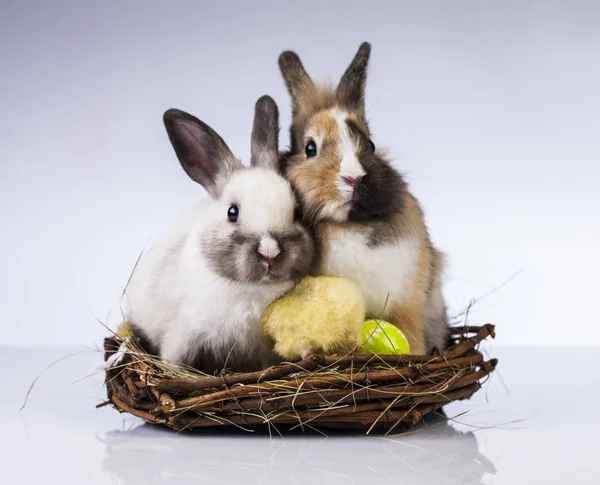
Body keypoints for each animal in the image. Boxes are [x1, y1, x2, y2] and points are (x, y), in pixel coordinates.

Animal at [125, 96, 316, 372]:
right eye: (232, 212)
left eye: (297, 211)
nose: (270, 253)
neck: (251, 291)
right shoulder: (183, 336)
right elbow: (174, 363)